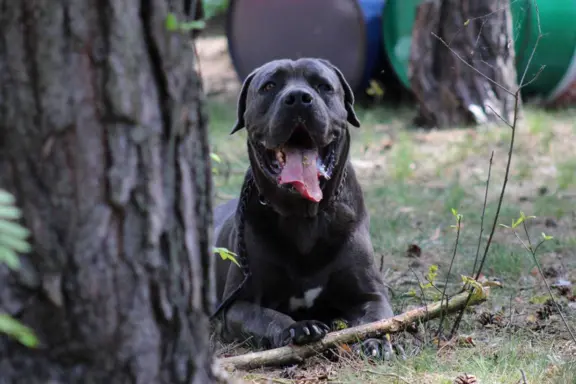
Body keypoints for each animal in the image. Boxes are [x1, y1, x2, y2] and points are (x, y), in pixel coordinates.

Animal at [212, 58, 396, 358]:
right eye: (269, 86)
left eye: (323, 86)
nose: (298, 98)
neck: (303, 217)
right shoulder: (238, 304)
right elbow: (269, 316)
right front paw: (299, 327)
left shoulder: (370, 294)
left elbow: (377, 317)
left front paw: (377, 340)